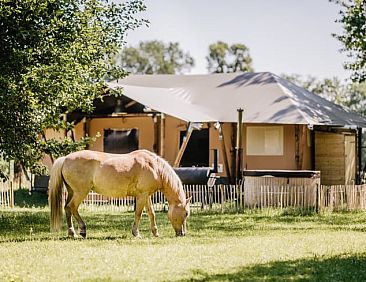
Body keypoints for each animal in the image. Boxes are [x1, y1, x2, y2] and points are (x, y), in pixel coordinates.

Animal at [48, 149, 192, 239]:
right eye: (186, 213)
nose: (183, 234)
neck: (154, 167)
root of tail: (65, 159)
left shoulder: (146, 196)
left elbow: (151, 213)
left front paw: (155, 233)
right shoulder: (142, 196)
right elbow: (138, 214)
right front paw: (136, 233)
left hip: (72, 192)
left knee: (67, 208)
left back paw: (72, 233)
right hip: (80, 192)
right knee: (72, 207)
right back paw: (82, 230)